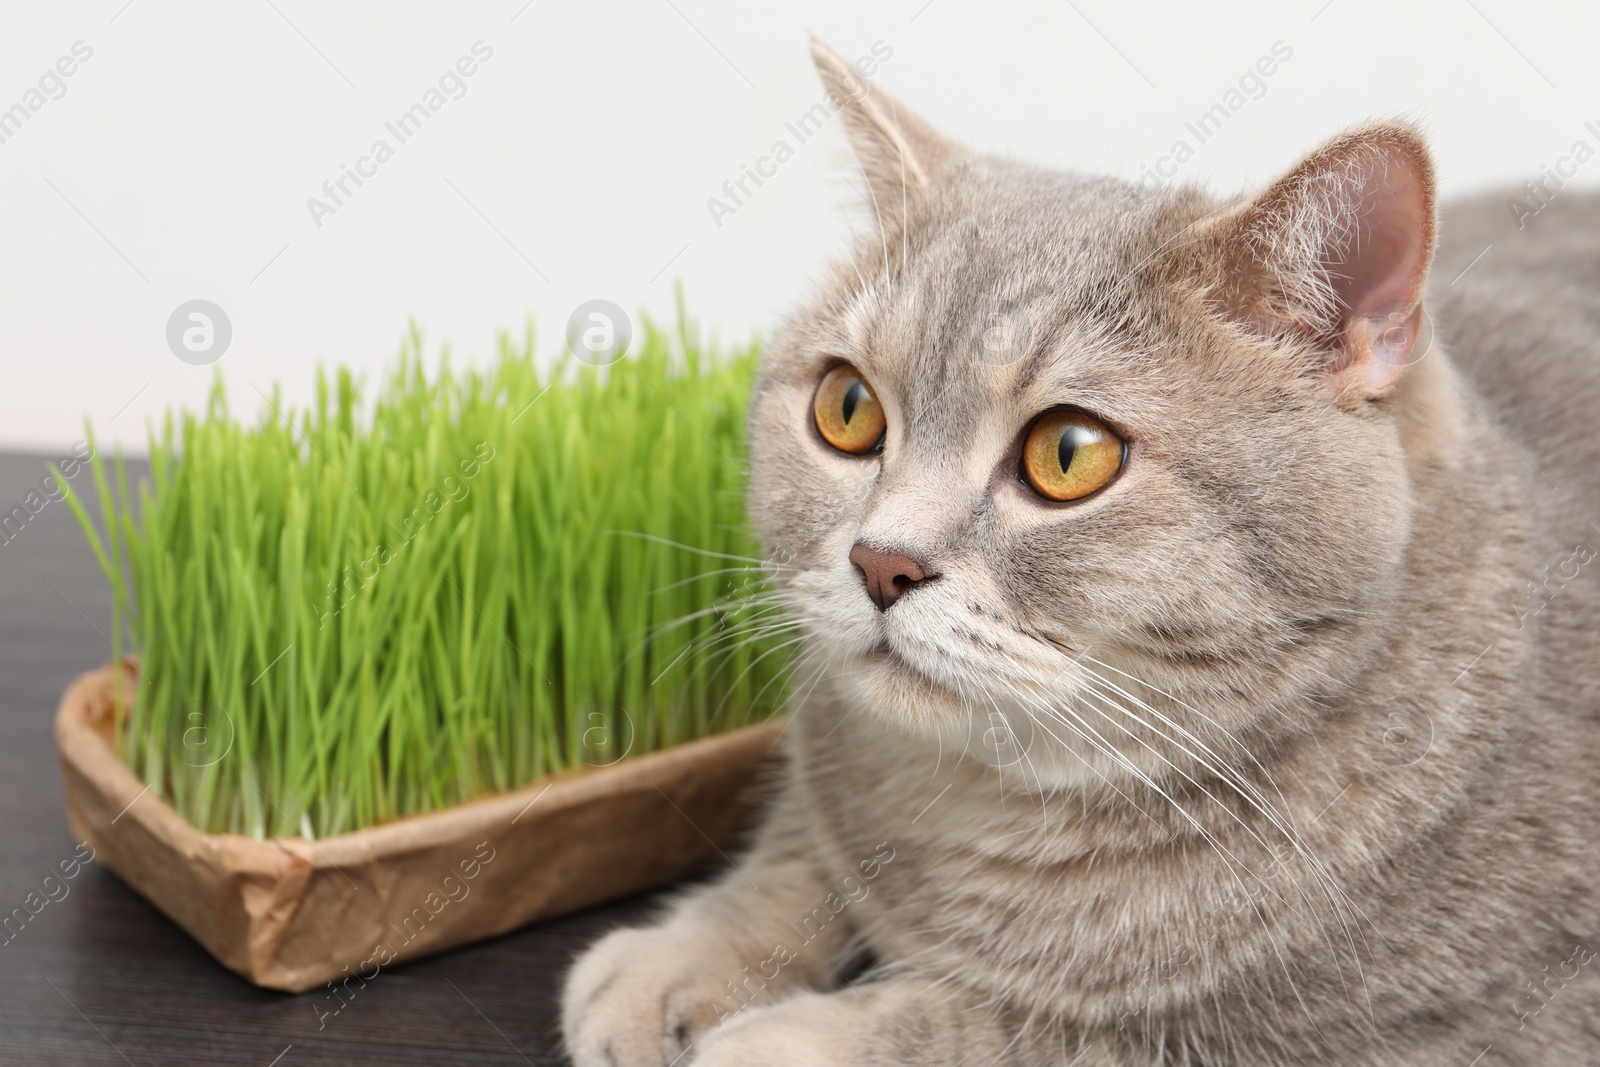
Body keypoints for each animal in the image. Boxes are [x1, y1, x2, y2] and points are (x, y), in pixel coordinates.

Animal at [560, 41, 1600, 1067]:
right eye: (846, 408)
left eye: (1068, 454)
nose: (880, 561)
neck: (978, 801)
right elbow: (800, 840)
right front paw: (682, 955)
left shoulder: (1421, 1032)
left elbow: (981, 1024)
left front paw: (783, 1038)